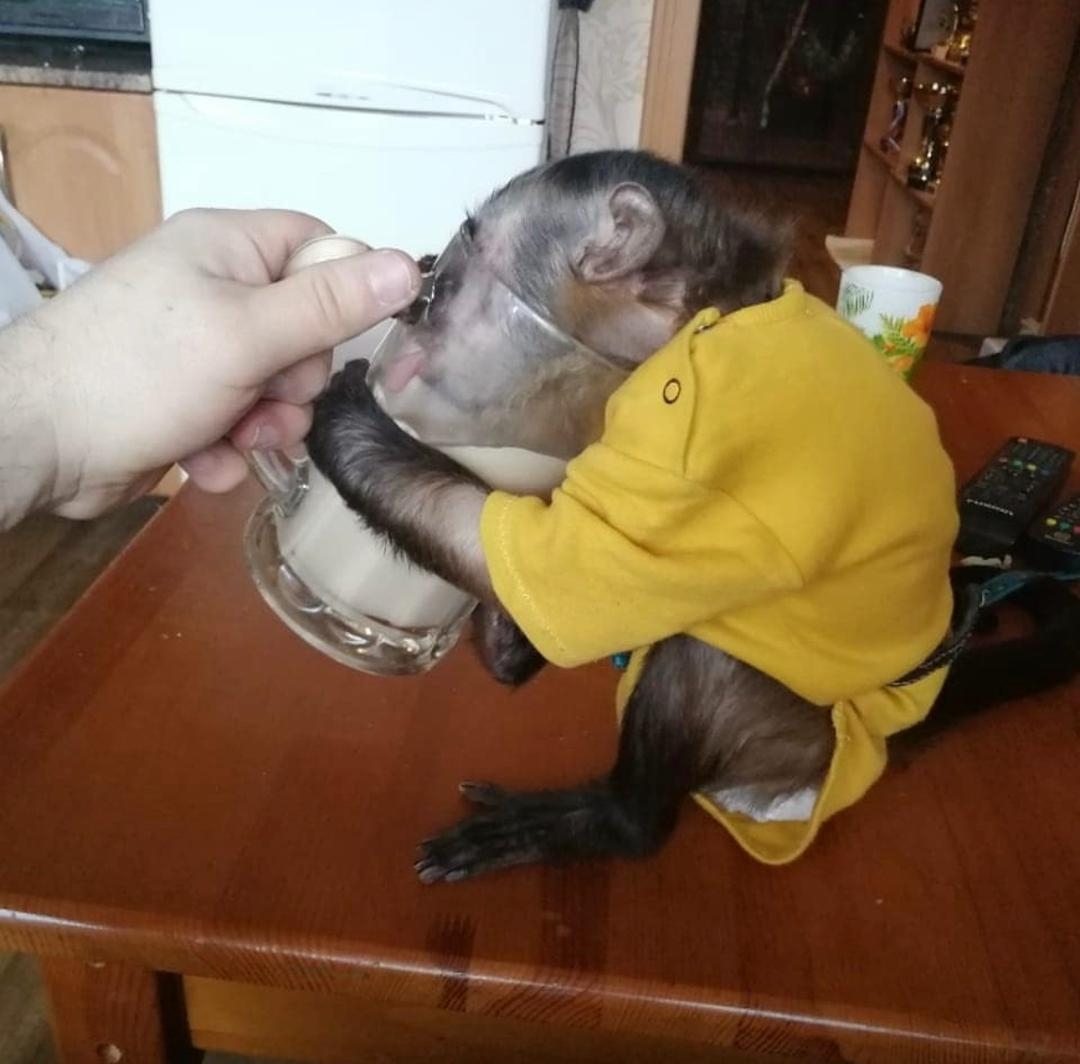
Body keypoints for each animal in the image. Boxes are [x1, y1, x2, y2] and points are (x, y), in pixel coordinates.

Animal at [306, 151, 1080, 883]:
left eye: (455, 273)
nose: (417, 290)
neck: (704, 318)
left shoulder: (698, 434)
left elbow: (571, 585)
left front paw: (343, 417)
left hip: (793, 748)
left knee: (703, 654)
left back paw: (611, 822)